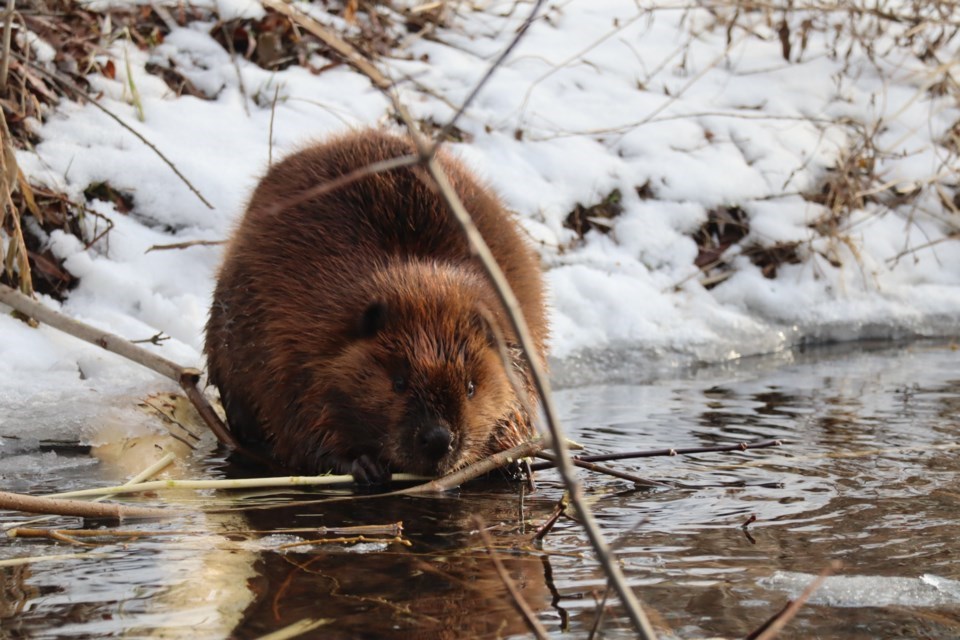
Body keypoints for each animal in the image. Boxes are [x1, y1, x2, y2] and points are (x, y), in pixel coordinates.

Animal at [204, 129, 548, 480]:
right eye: (398, 383)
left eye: (471, 387)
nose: (438, 439)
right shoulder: (291, 341)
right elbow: (298, 420)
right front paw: (363, 464)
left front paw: (516, 461)